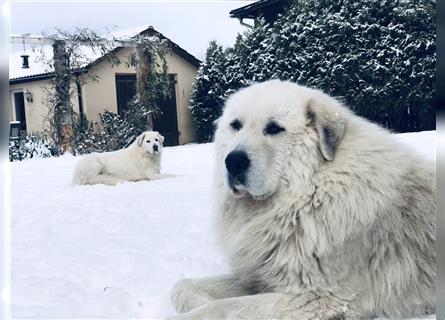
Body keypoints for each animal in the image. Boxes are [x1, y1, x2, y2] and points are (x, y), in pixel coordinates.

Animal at [170, 80, 434, 320]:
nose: (233, 161)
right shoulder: (260, 274)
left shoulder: (317, 297)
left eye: (274, 128)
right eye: (236, 125)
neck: (307, 194)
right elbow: (182, 287)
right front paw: (199, 299)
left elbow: (222, 308)